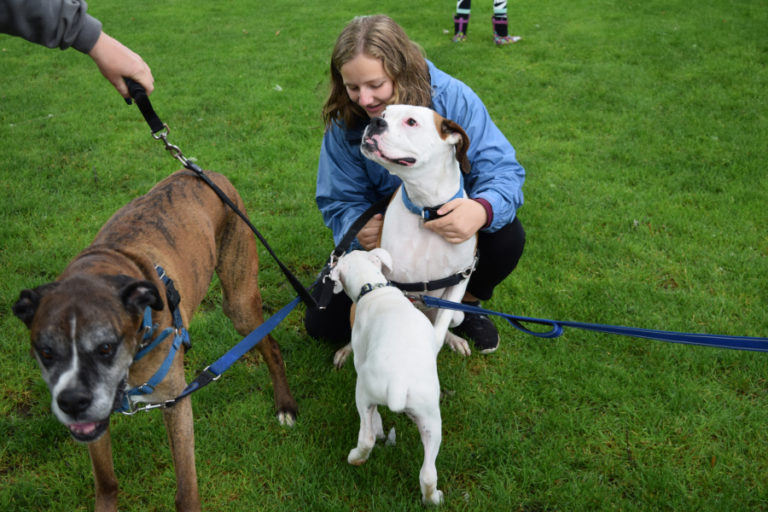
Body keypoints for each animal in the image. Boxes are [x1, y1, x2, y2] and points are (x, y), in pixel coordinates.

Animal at [14, 169, 300, 512]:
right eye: (45, 352)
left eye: (105, 348)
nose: (71, 402)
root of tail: (205, 172)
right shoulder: (96, 422)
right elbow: (106, 481)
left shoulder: (175, 403)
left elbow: (186, 490)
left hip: (239, 302)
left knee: (271, 346)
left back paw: (285, 405)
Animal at [328, 250, 444, 506]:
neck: (373, 288)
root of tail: (399, 383)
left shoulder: (360, 359)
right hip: (432, 421)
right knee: (428, 473)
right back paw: (433, 499)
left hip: (363, 392)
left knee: (367, 438)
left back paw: (355, 457)